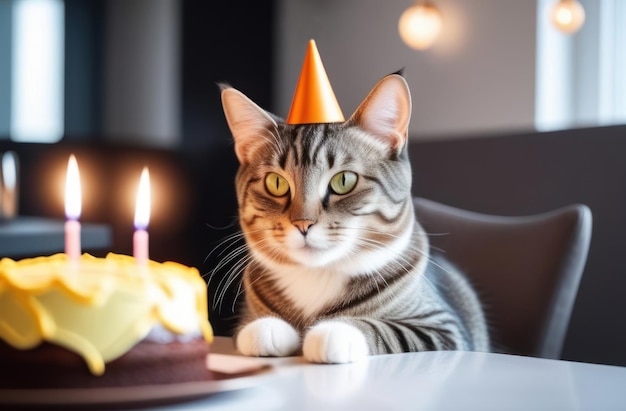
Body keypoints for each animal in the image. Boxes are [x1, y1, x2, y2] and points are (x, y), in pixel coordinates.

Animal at [218, 73, 488, 364]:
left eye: (344, 181)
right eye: (276, 183)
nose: (303, 223)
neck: (318, 275)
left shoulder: (445, 328)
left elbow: (388, 330)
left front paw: (333, 332)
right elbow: (250, 328)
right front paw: (267, 328)